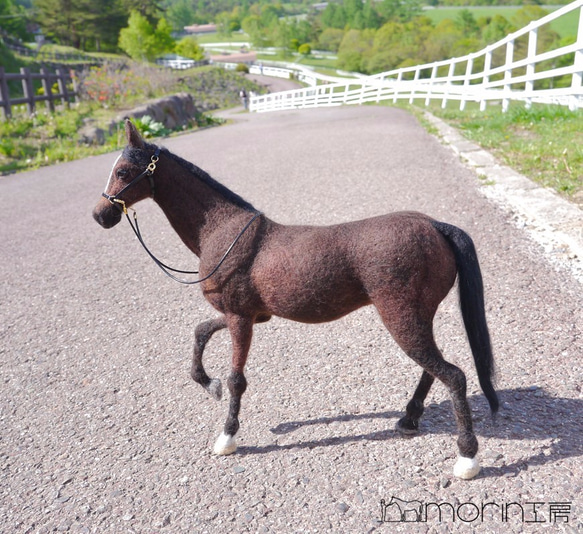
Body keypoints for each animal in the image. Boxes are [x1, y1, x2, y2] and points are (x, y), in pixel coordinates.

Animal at [93, 121, 500, 482]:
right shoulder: (249, 315)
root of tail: (436, 226)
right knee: (433, 369)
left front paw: (227, 436)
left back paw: (467, 459)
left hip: (401, 317)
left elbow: (237, 378)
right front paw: (209, 384)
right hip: (417, 317)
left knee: (453, 375)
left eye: (124, 170)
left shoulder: (240, 318)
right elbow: (200, 332)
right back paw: (409, 418)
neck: (221, 230)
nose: (101, 214)